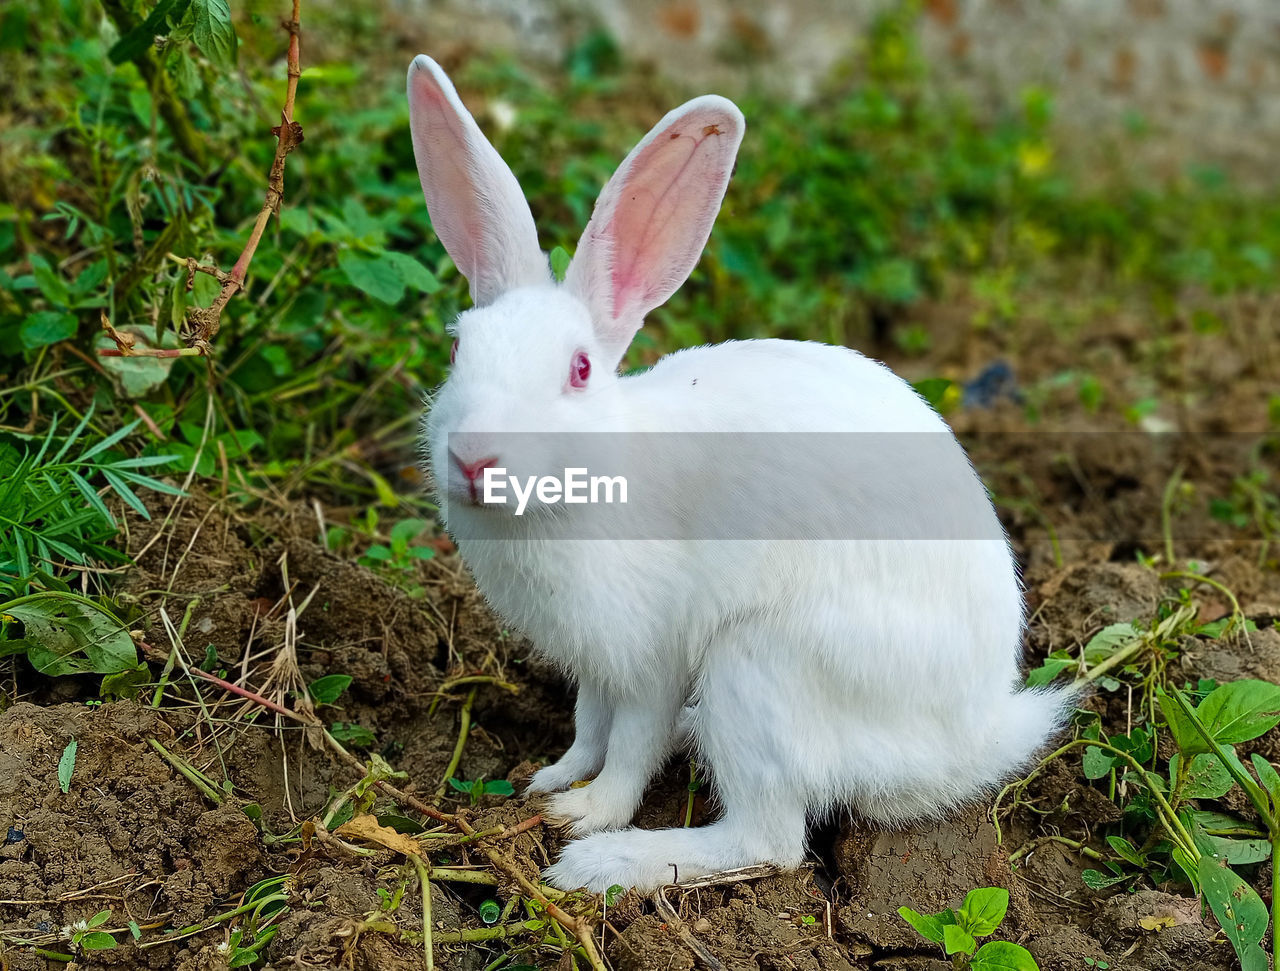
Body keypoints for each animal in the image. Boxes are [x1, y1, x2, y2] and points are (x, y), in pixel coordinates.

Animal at [407, 51, 1070, 890]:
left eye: (580, 370)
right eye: (459, 347)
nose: (473, 457)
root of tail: (972, 736)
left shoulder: (654, 656)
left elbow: (631, 747)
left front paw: (586, 815)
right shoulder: (597, 663)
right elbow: (590, 724)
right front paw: (554, 777)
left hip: (758, 669)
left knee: (769, 839)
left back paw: (608, 863)